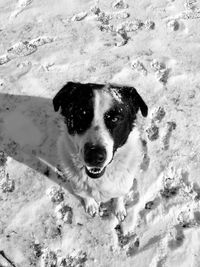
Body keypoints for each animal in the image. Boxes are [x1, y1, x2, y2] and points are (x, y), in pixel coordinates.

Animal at [52, 82, 148, 223]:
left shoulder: (123, 185)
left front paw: (119, 209)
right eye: (81, 114)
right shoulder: (77, 186)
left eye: (115, 119)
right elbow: (85, 195)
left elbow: (119, 196)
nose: (94, 156)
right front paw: (91, 205)